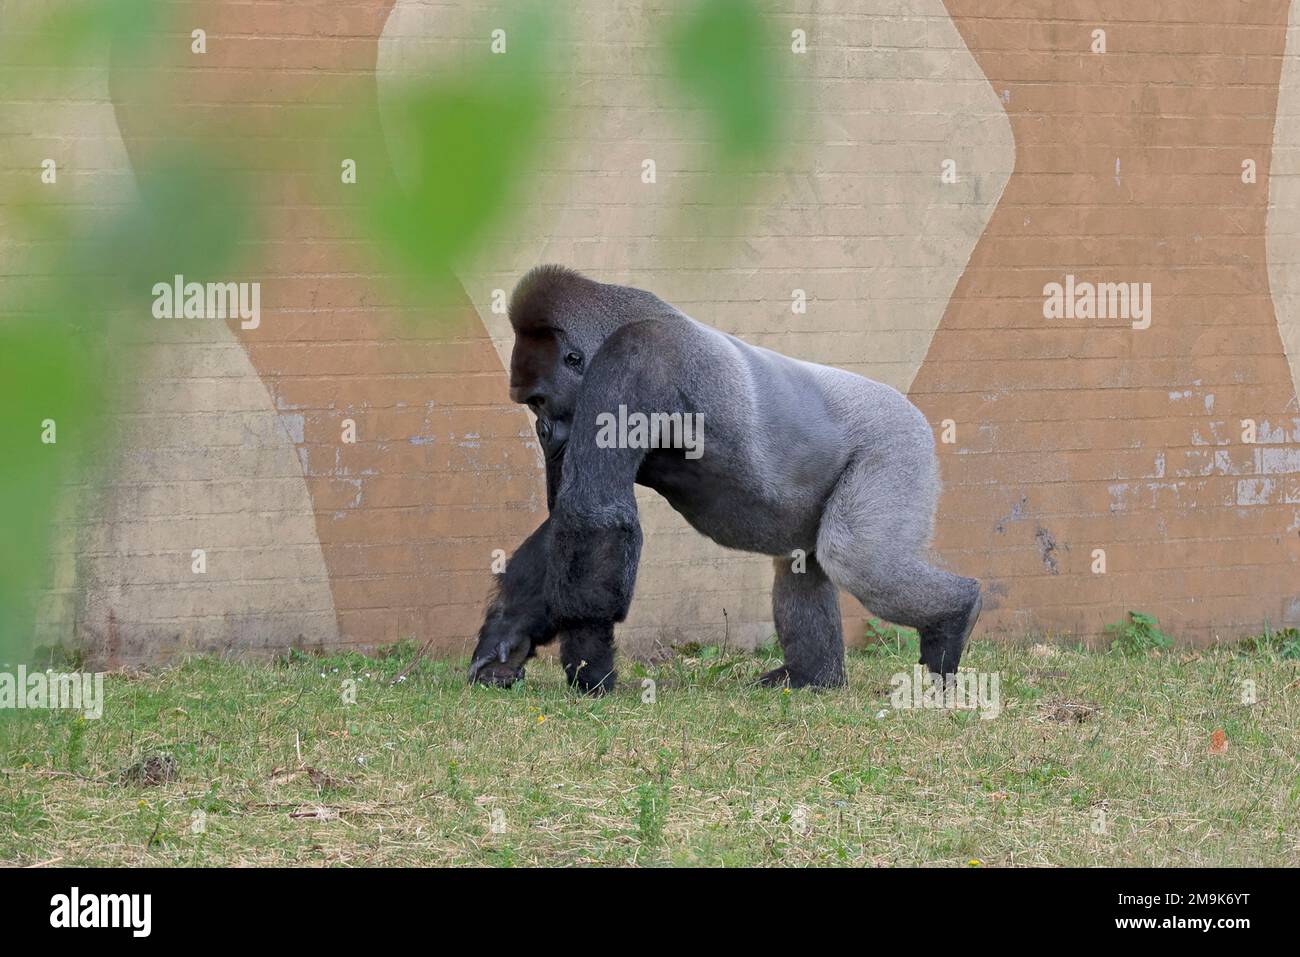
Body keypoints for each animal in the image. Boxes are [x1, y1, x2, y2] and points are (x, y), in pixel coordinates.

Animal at [462, 265, 977, 691]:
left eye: (538, 401)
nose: (542, 432)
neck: (617, 325)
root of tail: (913, 413)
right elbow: (565, 525)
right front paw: (506, 637)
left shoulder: (634, 360)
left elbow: (594, 515)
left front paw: (590, 667)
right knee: (805, 561)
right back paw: (813, 677)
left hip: (898, 443)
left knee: (855, 556)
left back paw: (953, 618)